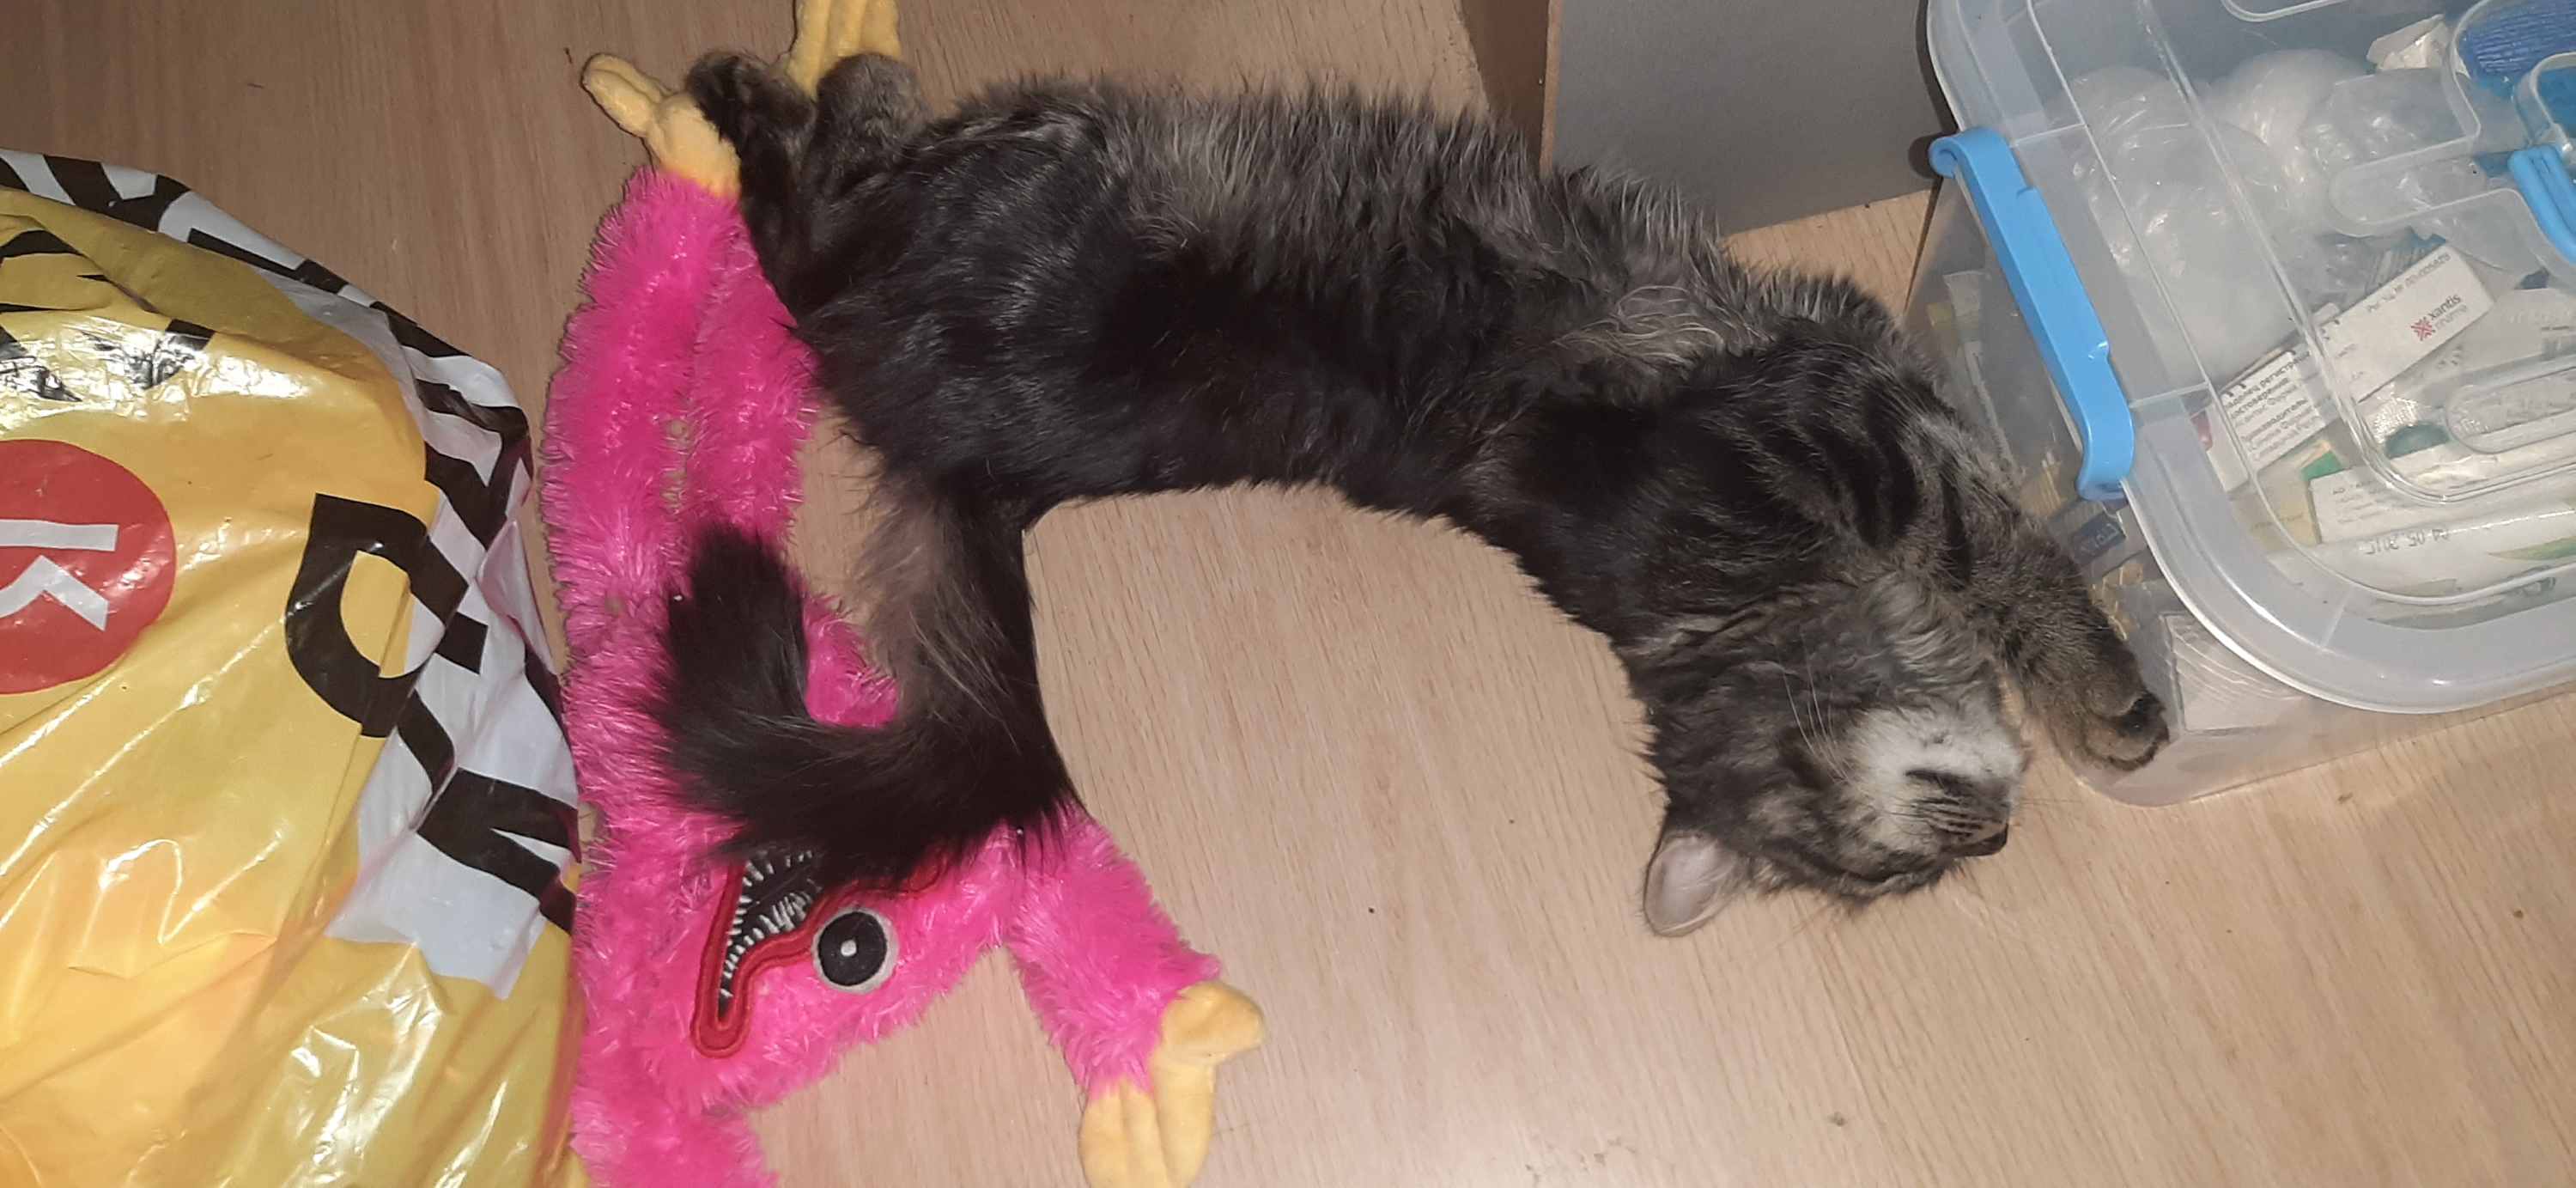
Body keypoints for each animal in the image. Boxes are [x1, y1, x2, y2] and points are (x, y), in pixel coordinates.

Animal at [653, 48, 2169, 936]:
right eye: (1903, 867)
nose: (2001, 831)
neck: (1736, 605)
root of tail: (961, 452)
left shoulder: (1845, 392)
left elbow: (1987, 497)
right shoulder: (1833, 423)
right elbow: (1998, 540)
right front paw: (2113, 692)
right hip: (994, 194)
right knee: (808, 212)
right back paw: (795, 77)